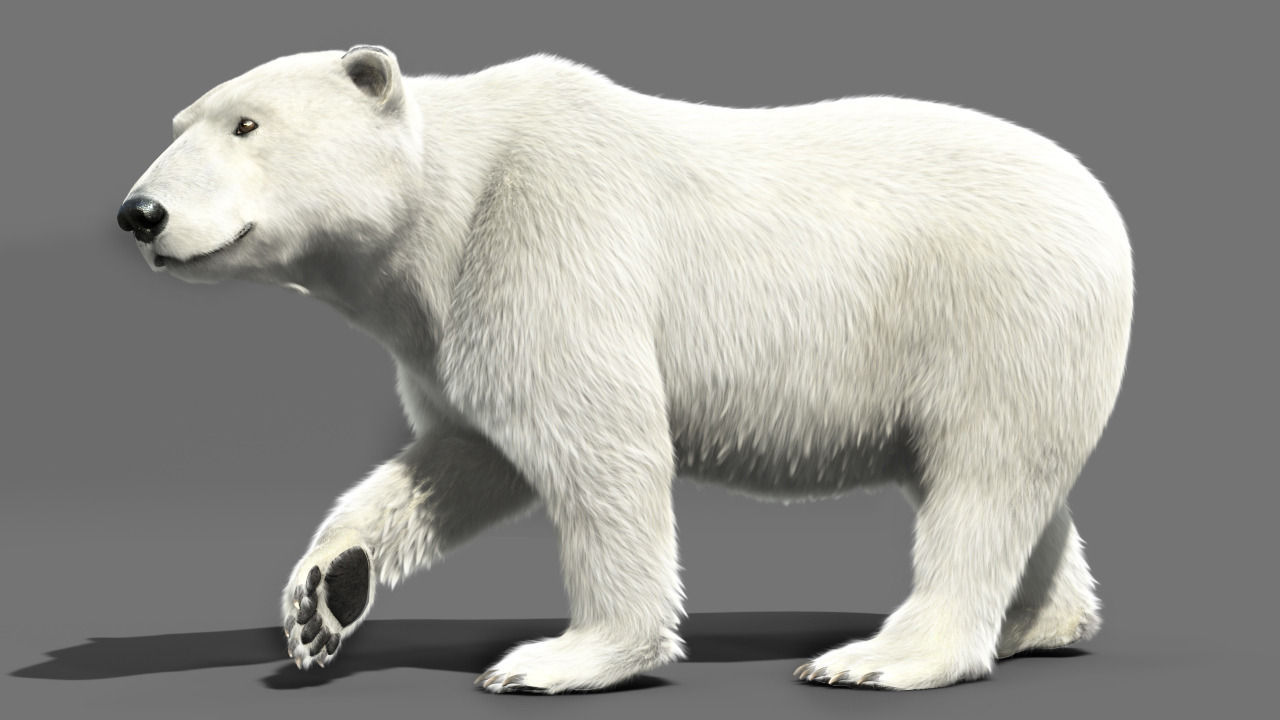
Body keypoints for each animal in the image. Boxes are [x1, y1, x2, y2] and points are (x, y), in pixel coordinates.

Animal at [116, 45, 1133, 694]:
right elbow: (465, 456)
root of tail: (1100, 202)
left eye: (247, 124)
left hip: (994, 310)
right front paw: (323, 597)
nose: (140, 212)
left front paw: (558, 659)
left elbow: (601, 451)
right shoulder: (449, 325)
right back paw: (1038, 624)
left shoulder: (547, 238)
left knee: (981, 481)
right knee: (1013, 484)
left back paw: (880, 655)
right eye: (182, 121)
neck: (450, 205)